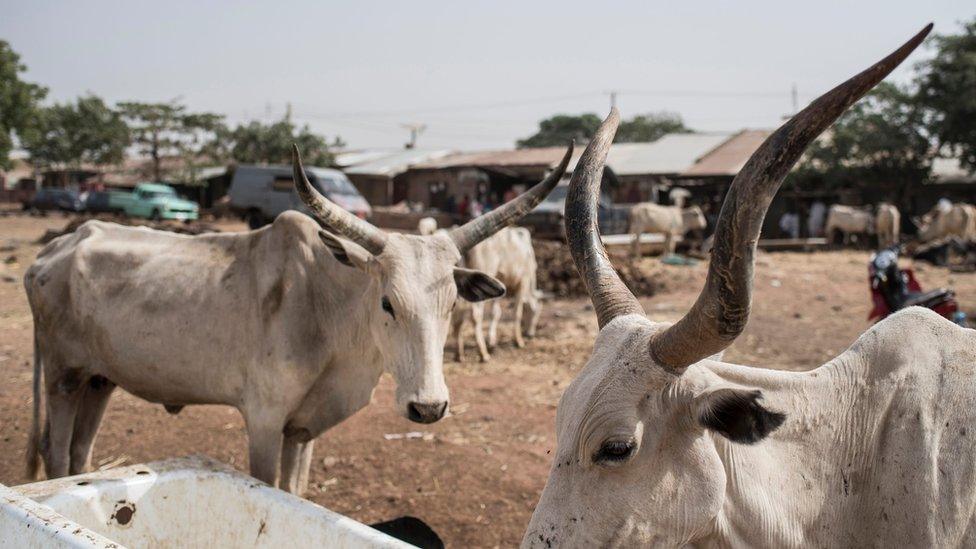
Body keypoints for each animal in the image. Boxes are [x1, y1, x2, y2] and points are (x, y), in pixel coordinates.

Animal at [450, 225, 540, 362]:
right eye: (535, 314)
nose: (531, 335)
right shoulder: (523, 281)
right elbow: (517, 312)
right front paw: (518, 340)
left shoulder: (499, 285)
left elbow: (495, 312)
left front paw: (492, 341)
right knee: (476, 316)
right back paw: (483, 353)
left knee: (458, 315)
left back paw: (459, 353)